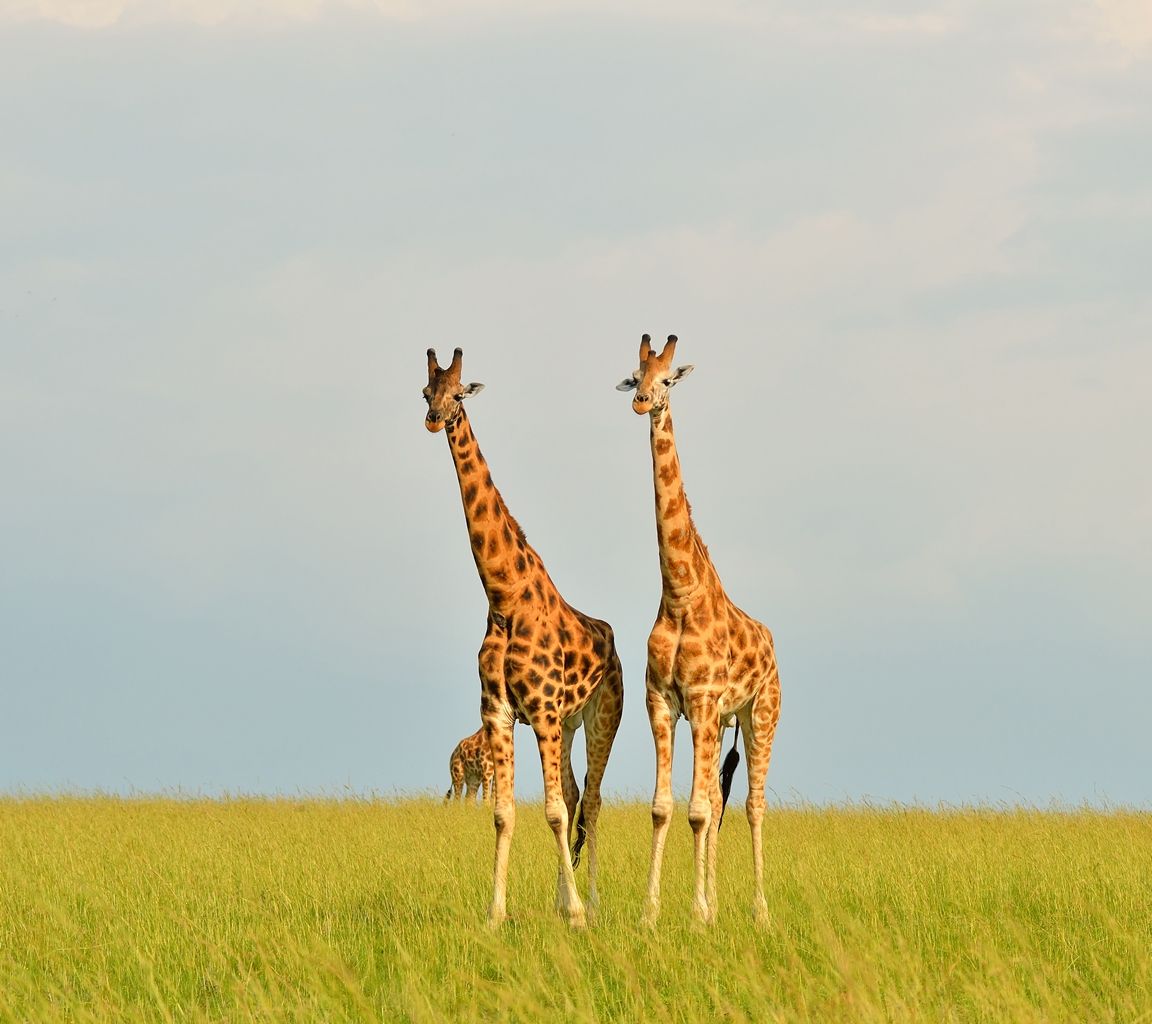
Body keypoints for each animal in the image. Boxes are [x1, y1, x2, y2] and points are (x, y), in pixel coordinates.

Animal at [422, 346, 624, 928]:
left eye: (459, 391)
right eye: (426, 391)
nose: (434, 419)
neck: (503, 596)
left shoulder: (542, 707)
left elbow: (553, 812)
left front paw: (576, 913)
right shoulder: (501, 710)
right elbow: (504, 813)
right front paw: (496, 913)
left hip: (603, 714)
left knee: (592, 798)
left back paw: (591, 901)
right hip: (569, 722)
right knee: (578, 793)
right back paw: (564, 897)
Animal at [616, 334, 781, 926]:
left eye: (667, 380)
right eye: (634, 374)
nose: (641, 401)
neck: (679, 594)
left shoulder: (705, 698)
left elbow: (697, 811)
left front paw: (695, 915)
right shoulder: (663, 701)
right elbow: (667, 808)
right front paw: (653, 913)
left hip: (760, 714)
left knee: (752, 805)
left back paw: (759, 909)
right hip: (722, 720)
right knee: (716, 799)